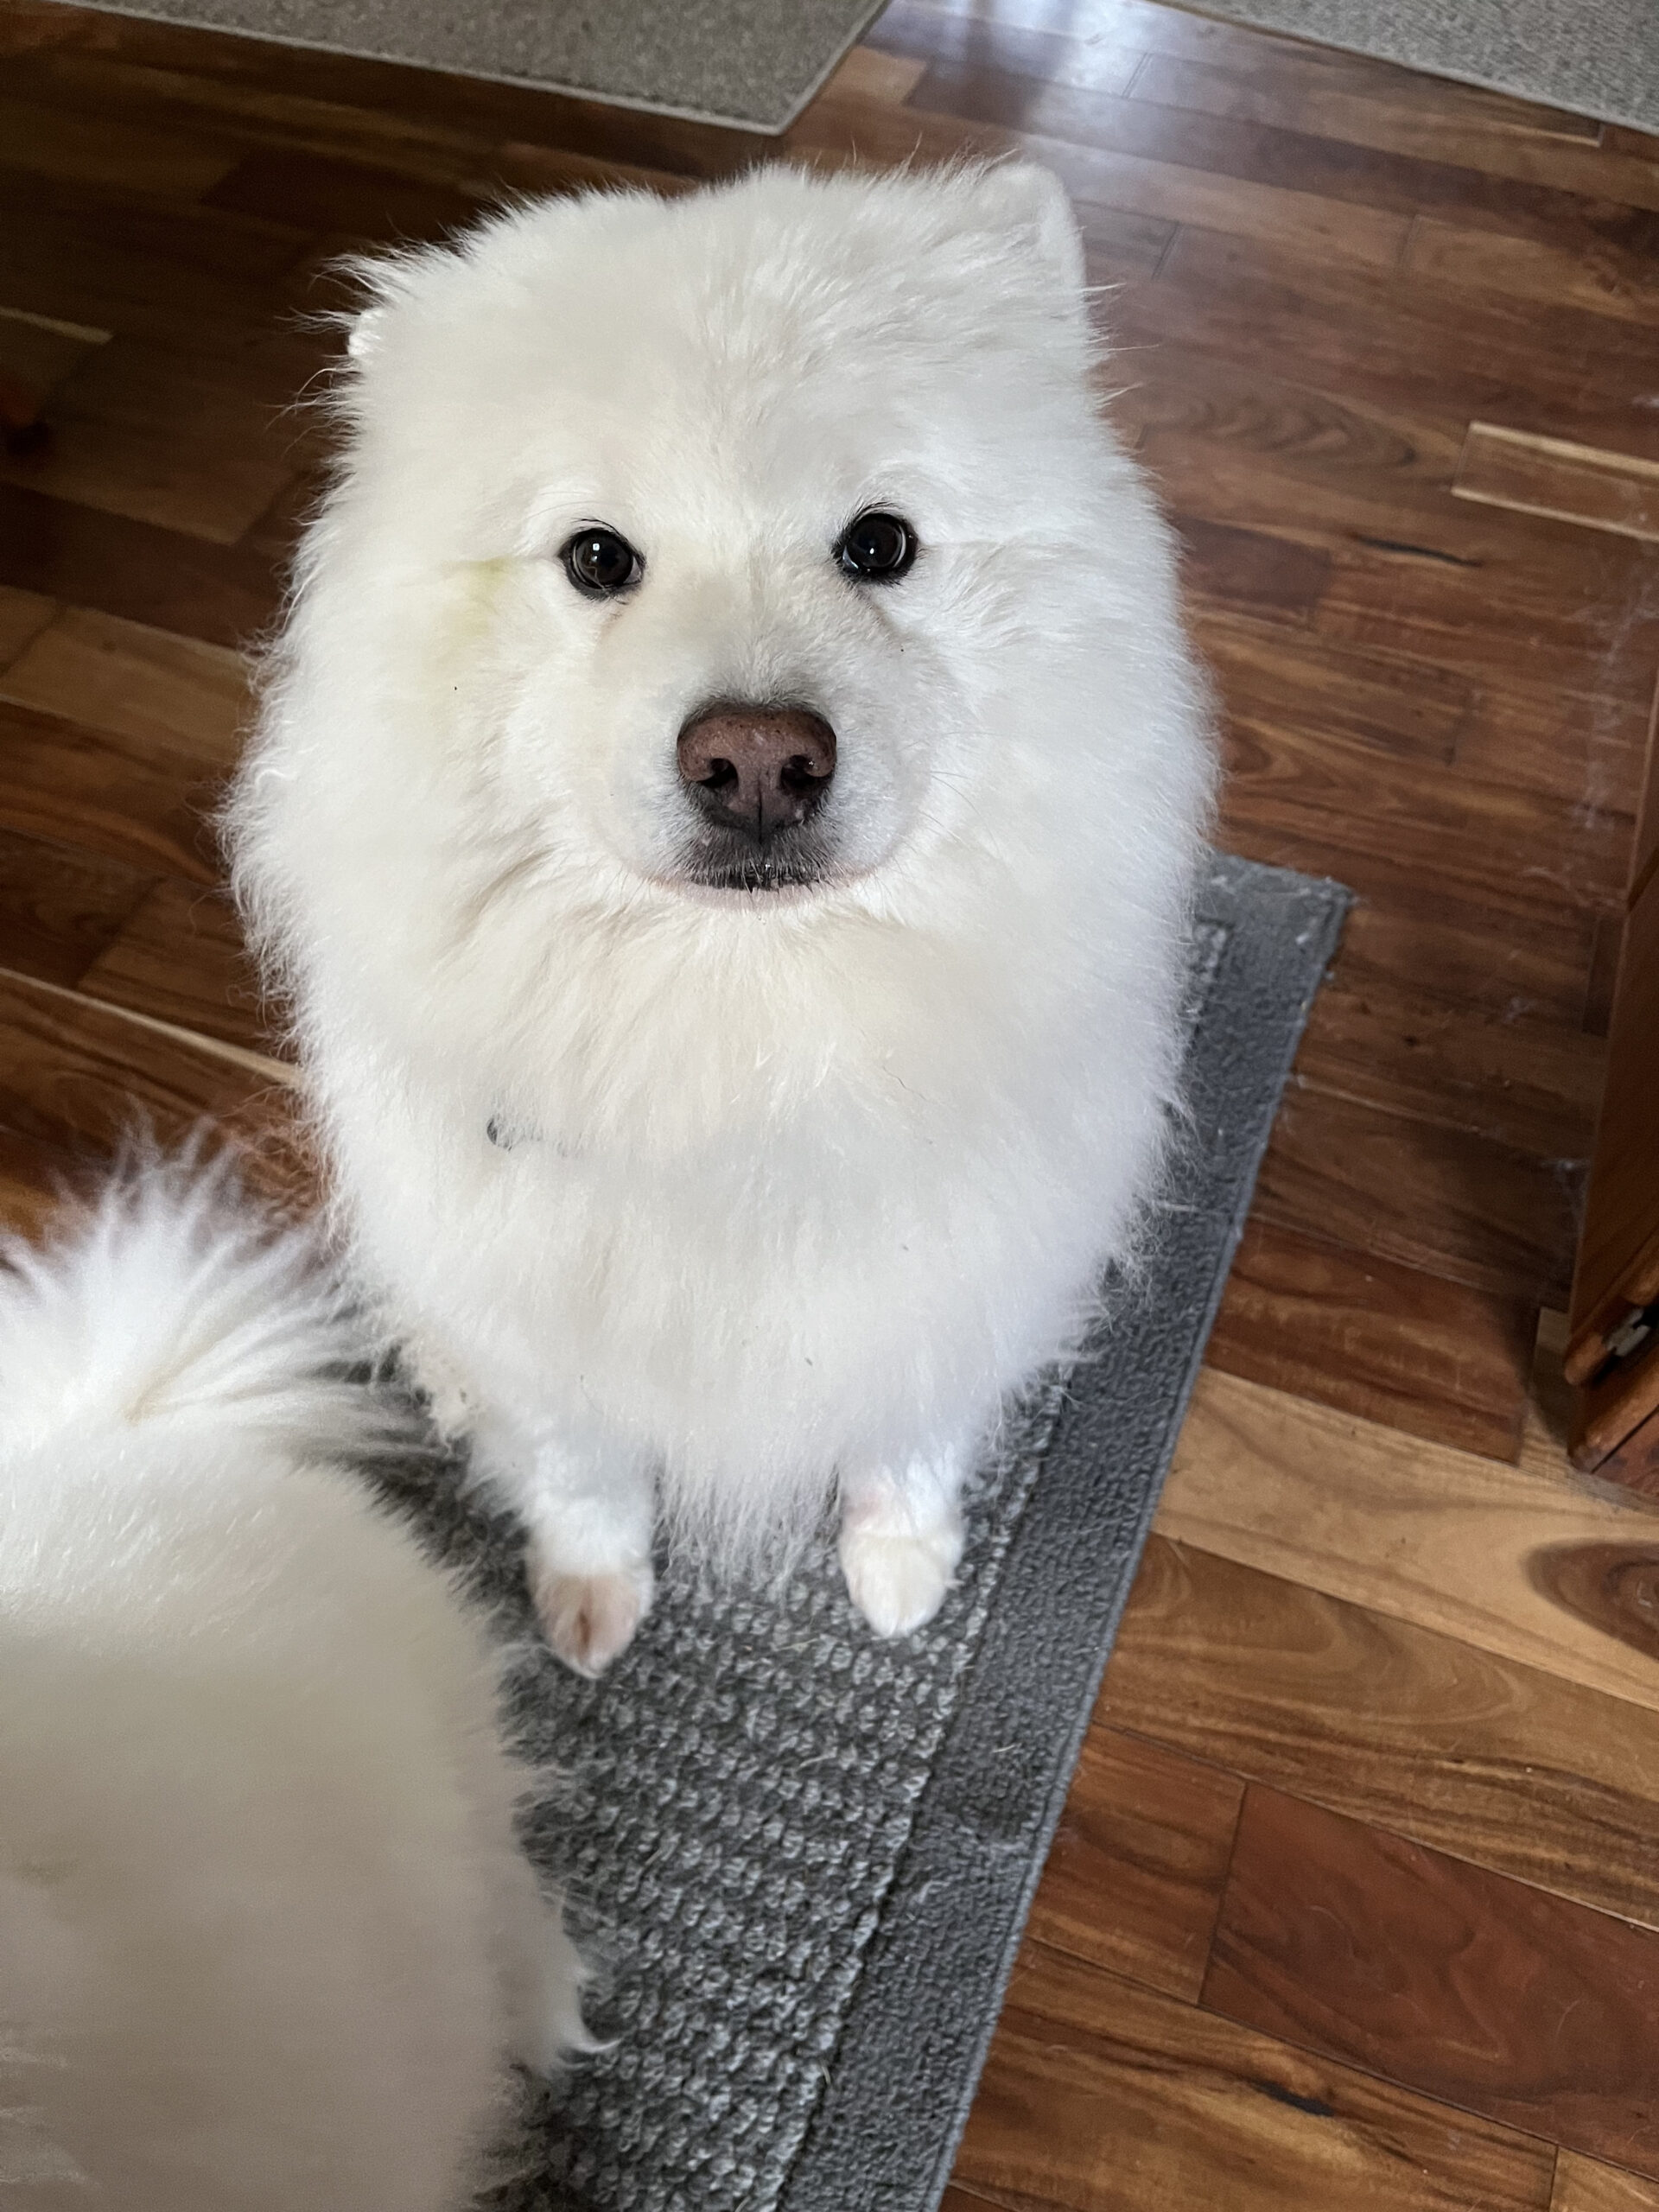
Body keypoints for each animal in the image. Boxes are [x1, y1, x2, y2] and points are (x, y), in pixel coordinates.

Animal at [229, 161, 1215, 1677]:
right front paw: (588, 1594)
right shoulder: (532, 1306)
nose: (756, 759)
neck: (742, 1030)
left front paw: (900, 1565)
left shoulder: (956, 1269)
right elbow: (578, 1467)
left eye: (880, 544)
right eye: (595, 559)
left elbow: (910, 1431)